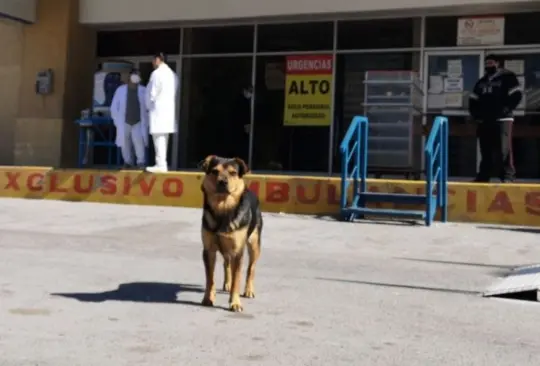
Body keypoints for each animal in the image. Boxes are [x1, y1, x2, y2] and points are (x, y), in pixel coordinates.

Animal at [200, 154, 264, 312]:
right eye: (215, 171)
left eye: (233, 173)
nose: (222, 181)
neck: (223, 209)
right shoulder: (209, 250)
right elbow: (210, 278)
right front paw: (208, 298)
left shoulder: (237, 252)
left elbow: (237, 279)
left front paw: (235, 303)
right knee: (226, 264)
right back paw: (226, 284)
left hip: (254, 244)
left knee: (251, 269)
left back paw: (248, 290)